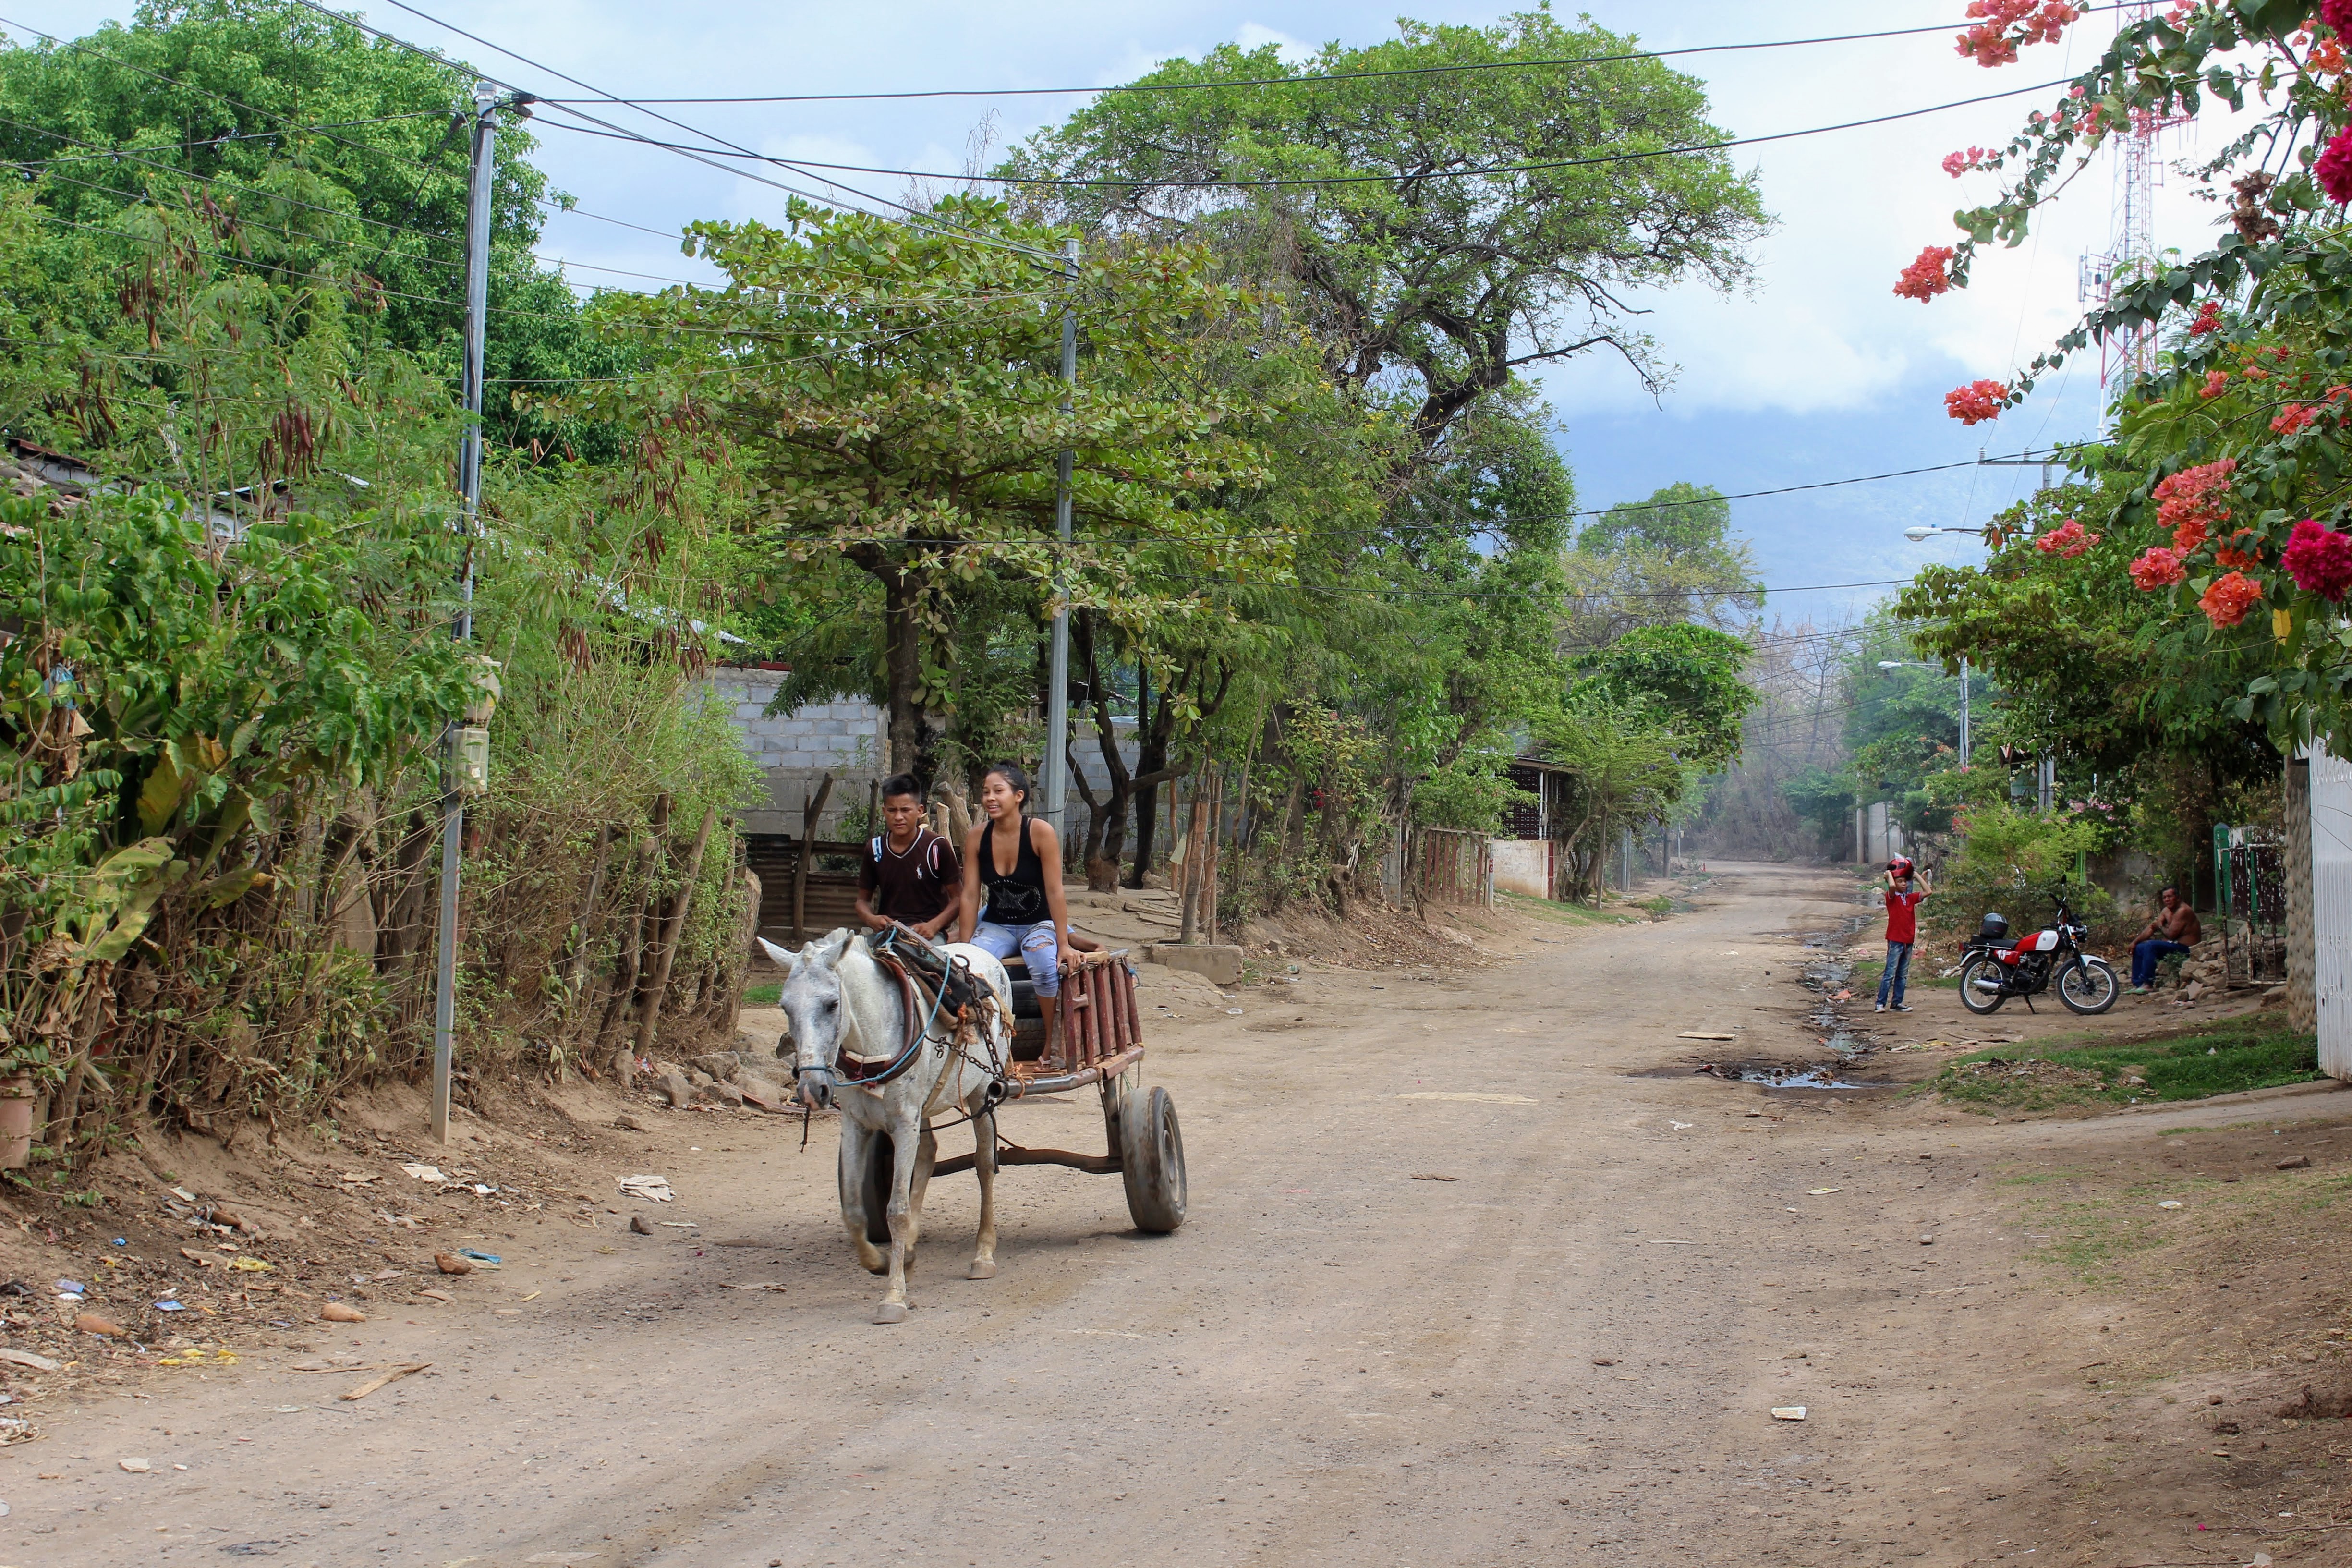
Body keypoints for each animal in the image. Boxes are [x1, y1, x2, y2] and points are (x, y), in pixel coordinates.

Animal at [752, 931, 1011, 1325]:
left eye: (832, 1004)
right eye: (785, 1007)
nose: (812, 1090)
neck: (871, 1044)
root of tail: (981, 953)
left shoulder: (904, 1122)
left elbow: (897, 1211)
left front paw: (893, 1296)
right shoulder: (857, 1125)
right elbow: (854, 1210)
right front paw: (880, 1261)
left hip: (982, 1093)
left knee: (984, 1164)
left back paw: (983, 1253)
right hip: (925, 1108)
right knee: (929, 1154)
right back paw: (911, 1252)